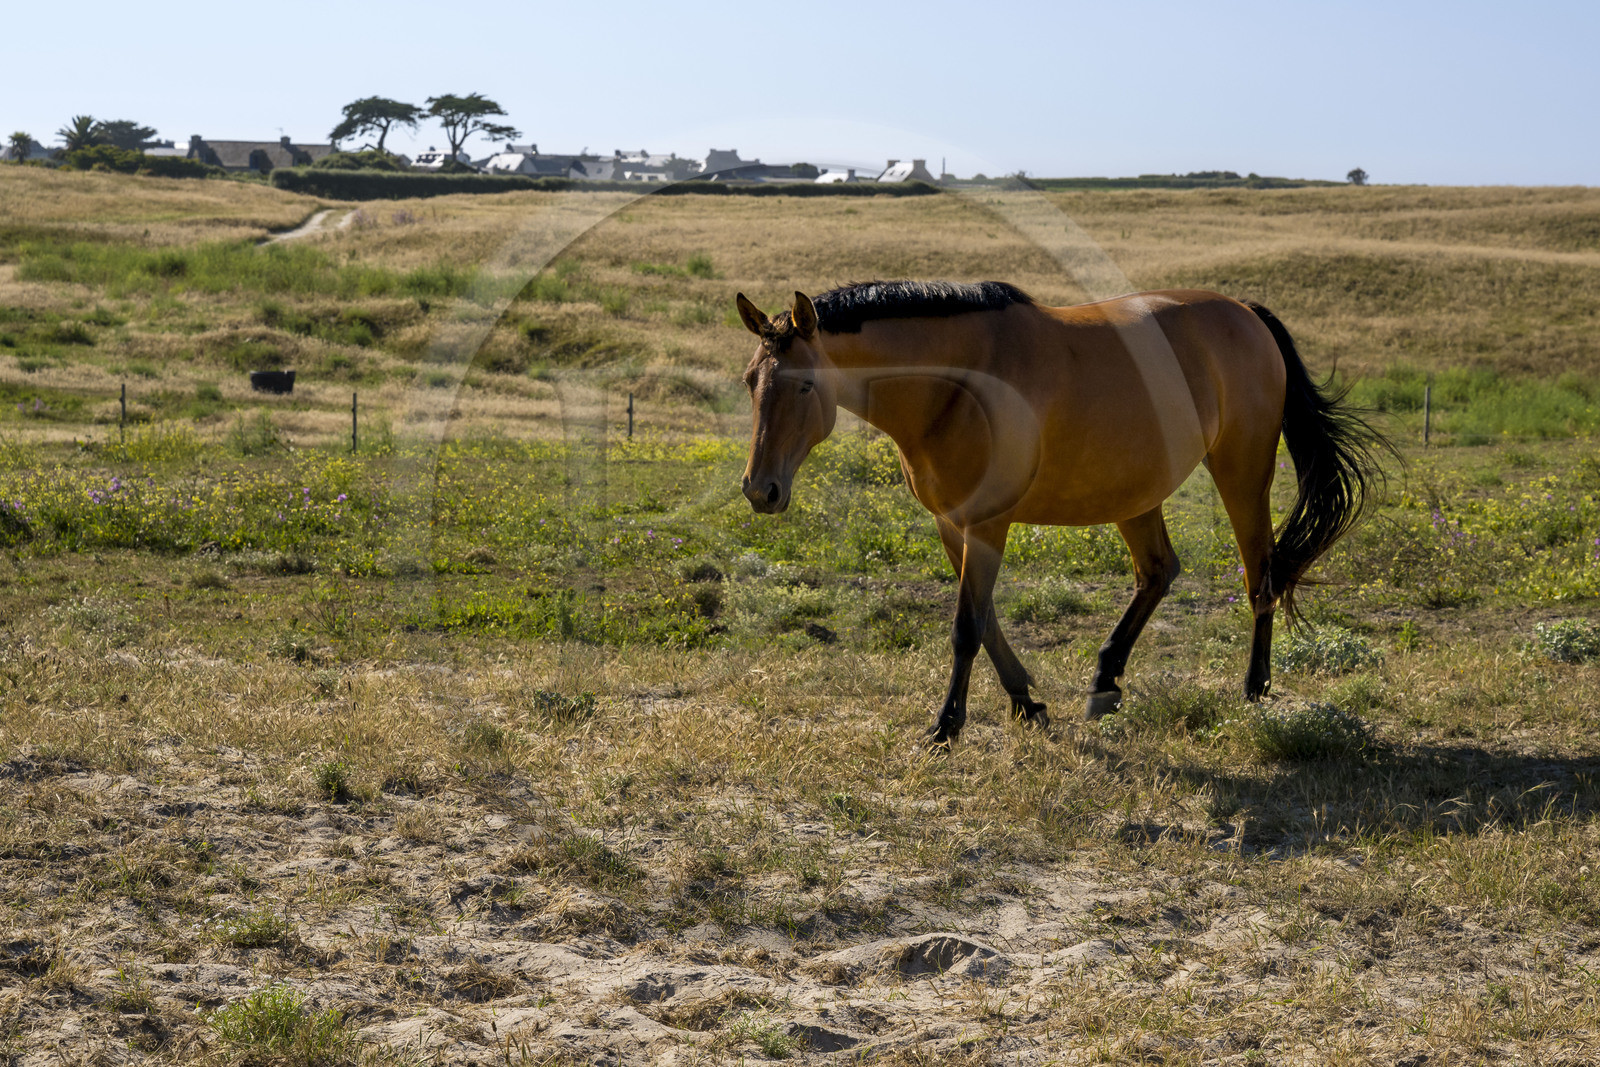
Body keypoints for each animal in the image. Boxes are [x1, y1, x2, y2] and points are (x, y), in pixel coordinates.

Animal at [735, 280, 1388, 748]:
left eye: (804, 385)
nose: (760, 490)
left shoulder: (987, 523)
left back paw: (1254, 689)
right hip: (1135, 495)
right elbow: (985, 621)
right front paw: (1027, 703)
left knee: (1261, 577)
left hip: (1242, 471)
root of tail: (1245, 313)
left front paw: (947, 726)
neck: (956, 385)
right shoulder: (953, 523)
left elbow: (966, 627)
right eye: (749, 381)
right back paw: (1105, 682)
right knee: (1158, 573)